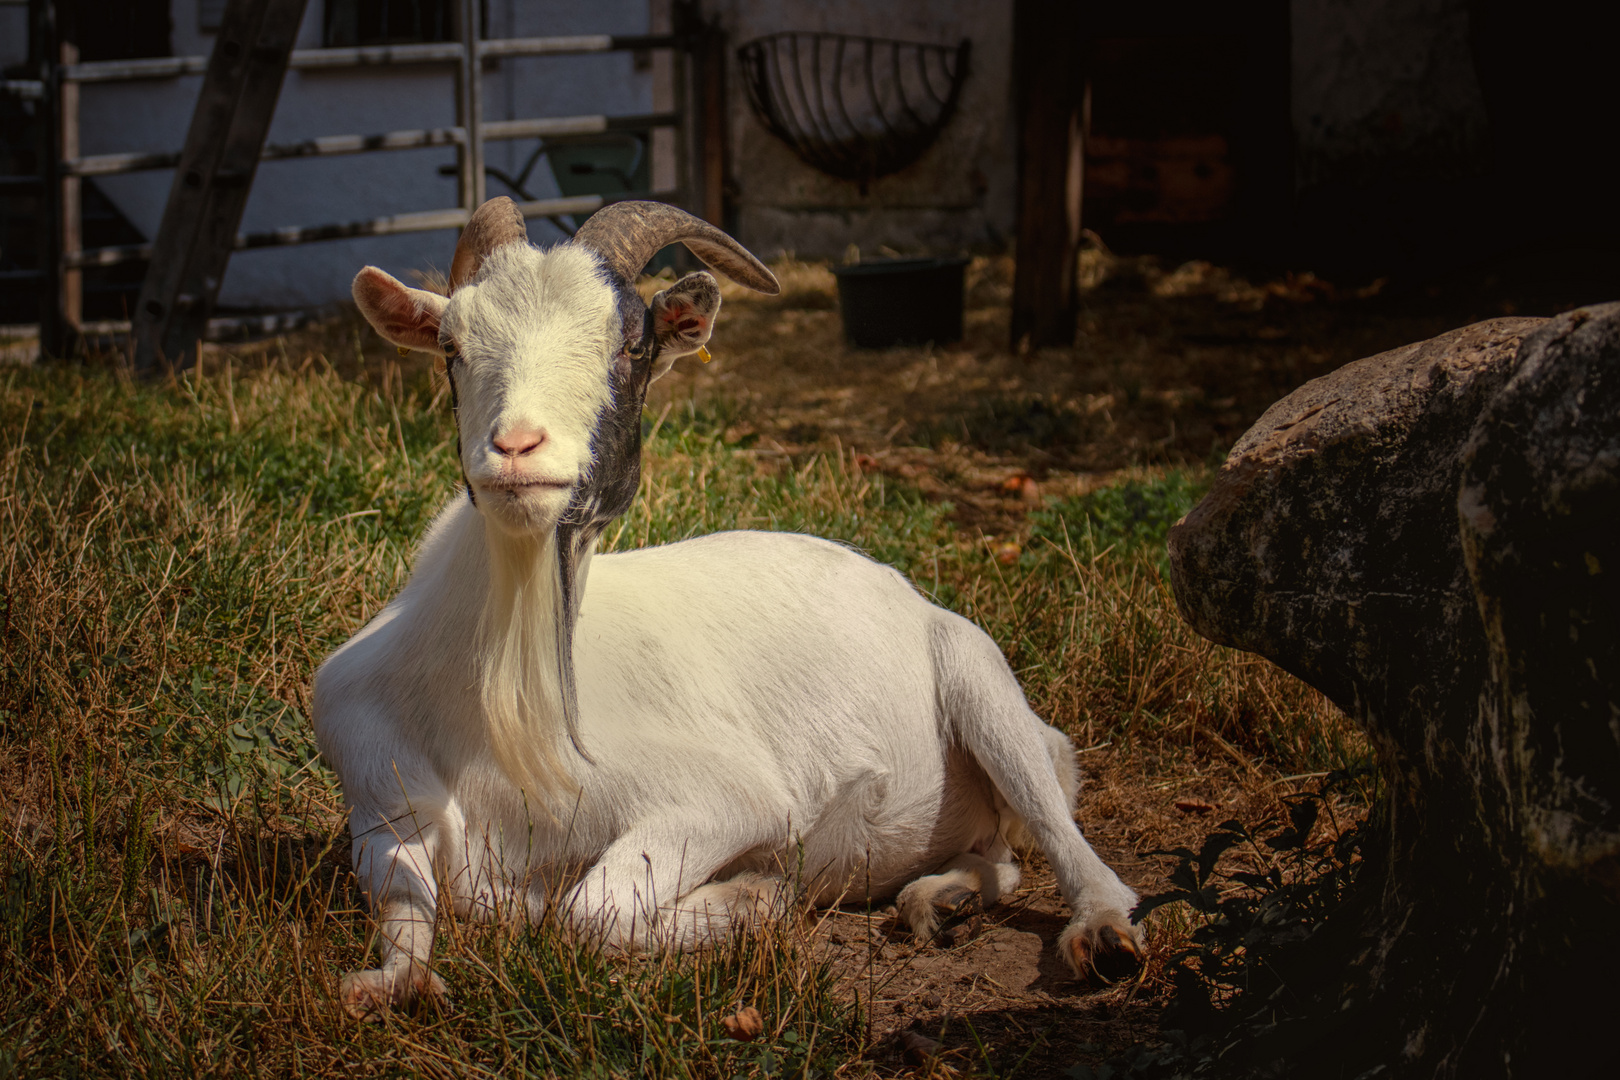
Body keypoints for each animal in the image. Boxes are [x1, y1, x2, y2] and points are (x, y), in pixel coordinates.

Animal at [315, 198, 1146, 1016]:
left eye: (631, 346)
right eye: (451, 344)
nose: (518, 449)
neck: (500, 715)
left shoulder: (729, 797)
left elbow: (590, 910)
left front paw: (753, 897)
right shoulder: (378, 799)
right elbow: (412, 902)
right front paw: (392, 980)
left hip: (983, 687)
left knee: (1060, 838)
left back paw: (1102, 934)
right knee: (1000, 858)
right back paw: (938, 900)